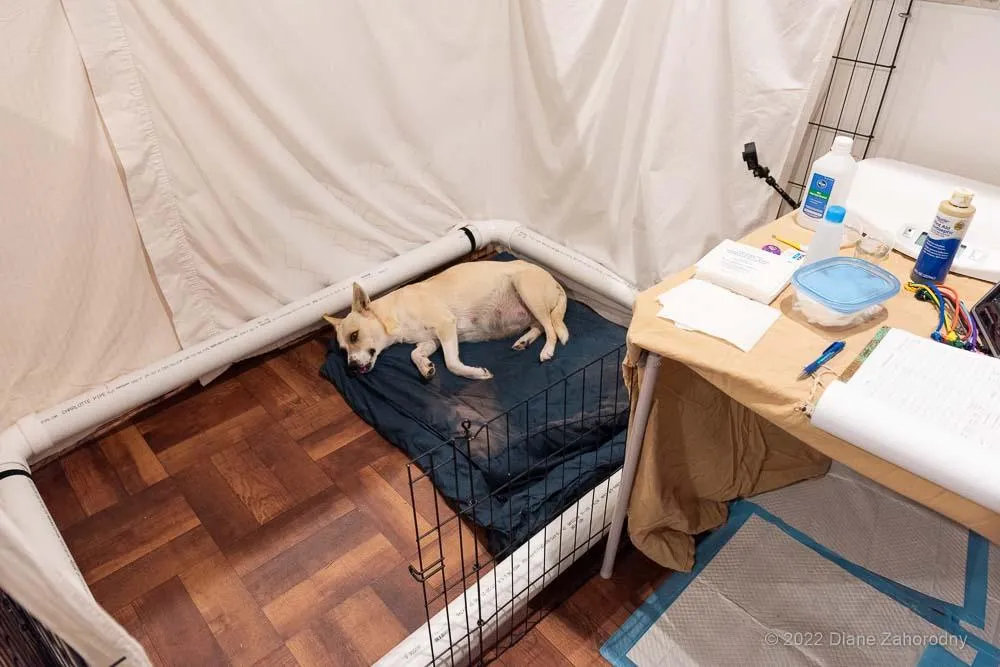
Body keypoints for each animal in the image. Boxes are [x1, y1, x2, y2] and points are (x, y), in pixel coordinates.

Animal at [322, 260, 568, 380]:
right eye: (342, 350)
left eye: (355, 336)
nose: (352, 368)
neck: (393, 315)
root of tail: (557, 284)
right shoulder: (430, 341)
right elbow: (414, 354)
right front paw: (425, 367)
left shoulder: (446, 326)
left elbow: (451, 363)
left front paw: (476, 374)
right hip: (530, 309)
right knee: (539, 326)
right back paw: (524, 340)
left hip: (526, 289)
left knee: (551, 329)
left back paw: (547, 350)